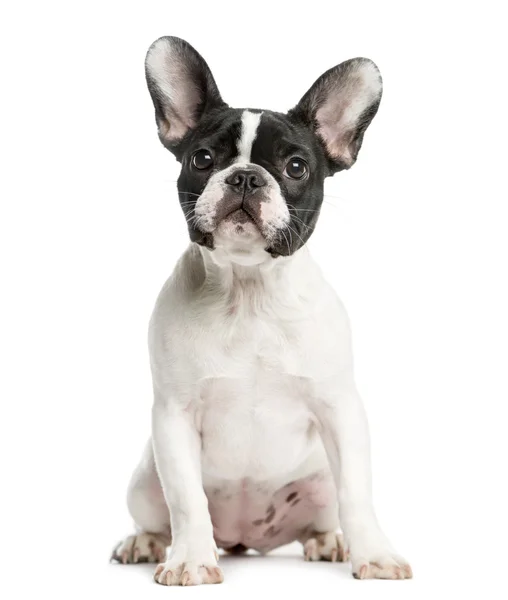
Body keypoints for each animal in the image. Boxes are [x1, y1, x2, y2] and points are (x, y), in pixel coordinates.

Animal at [112, 36, 412, 584]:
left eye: (295, 167)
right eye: (203, 158)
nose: (247, 178)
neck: (248, 292)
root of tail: (242, 538)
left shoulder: (340, 409)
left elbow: (358, 494)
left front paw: (375, 555)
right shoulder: (173, 415)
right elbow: (186, 499)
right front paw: (190, 559)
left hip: (319, 481)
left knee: (326, 513)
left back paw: (330, 542)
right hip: (144, 479)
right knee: (159, 513)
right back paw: (148, 542)